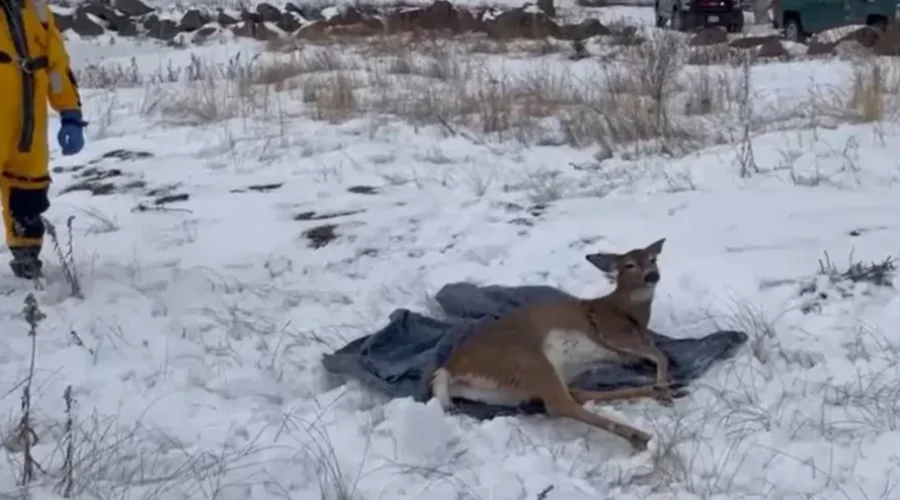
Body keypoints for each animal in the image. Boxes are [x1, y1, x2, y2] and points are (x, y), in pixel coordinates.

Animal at [430, 238, 672, 451]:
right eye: (629, 265)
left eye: (653, 259)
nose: (652, 275)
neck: (628, 312)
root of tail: (448, 369)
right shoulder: (612, 334)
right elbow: (660, 354)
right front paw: (662, 384)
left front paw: (661, 385)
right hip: (527, 361)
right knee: (561, 404)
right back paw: (640, 431)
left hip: (523, 384)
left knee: (575, 395)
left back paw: (659, 392)